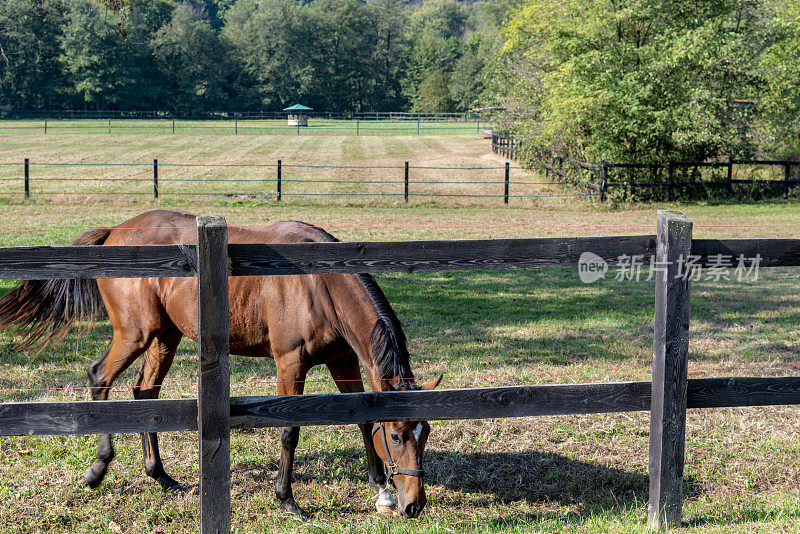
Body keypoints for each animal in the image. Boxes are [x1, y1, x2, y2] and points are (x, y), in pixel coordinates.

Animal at [0, 209, 440, 520]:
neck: (320, 282)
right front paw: (287, 499)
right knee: (100, 377)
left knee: (145, 392)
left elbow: (363, 418)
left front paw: (381, 491)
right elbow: (291, 430)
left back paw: (160, 476)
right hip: (135, 334)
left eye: (425, 433)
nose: (414, 504)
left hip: (166, 337)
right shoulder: (290, 363)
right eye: (397, 436)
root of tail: (116, 232)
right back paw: (98, 469)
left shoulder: (343, 360)